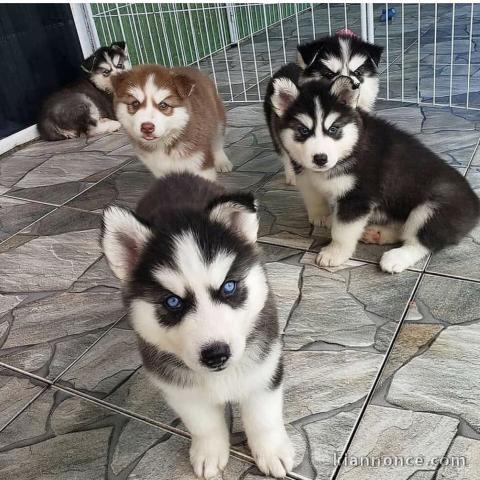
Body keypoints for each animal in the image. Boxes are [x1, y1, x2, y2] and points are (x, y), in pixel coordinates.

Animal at [101, 173, 292, 480]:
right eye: (172, 302)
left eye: (229, 287)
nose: (216, 354)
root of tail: (176, 174)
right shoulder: (179, 389)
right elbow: (204, 425)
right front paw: (210, 452)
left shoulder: (264, 368)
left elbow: (263, 417)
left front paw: (271, 451)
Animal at [264, 73, 478, 272]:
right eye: (303, 131)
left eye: (333, 129)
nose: (320, 158)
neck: (350, 148)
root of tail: (475, 203)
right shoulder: (304, 174)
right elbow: (313, 197)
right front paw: (321, 216)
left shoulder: (358, 197)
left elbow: (342, 231)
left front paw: (335, 253)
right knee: (402, 229)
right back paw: (377, 233)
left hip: (433, 208)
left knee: (420, 240)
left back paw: (396, 258)